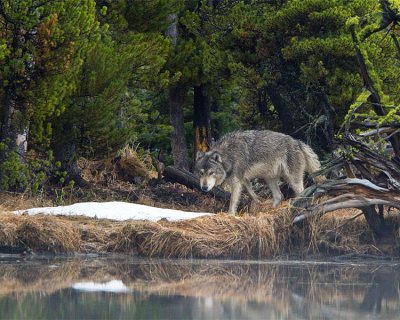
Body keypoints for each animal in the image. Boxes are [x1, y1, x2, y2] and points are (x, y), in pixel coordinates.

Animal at [195, 130, 324, 215]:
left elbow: (232, 201)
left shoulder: (237, 182)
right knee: (279, 196)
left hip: (292, 180)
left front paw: (230, 215)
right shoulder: (244, 180)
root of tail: (298, 142)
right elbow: (251, 192)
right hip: (269, 179)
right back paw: (271, 211)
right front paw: (258, 201)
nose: (204, 188)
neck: (229, 155)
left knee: (302, 192)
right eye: (201, 173)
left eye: (211, 173)